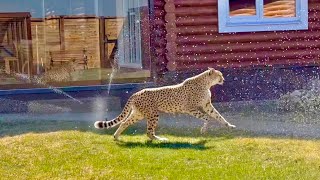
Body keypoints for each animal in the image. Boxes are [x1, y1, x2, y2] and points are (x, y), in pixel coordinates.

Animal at [94, 67, 236, 141]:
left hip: (138, 114)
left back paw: (116, 137)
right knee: (149, 132)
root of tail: (136, 93)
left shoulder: (207, 105)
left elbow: (218, 116)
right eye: (220, 75)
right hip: (153, 114)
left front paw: (229, 126)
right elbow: (207, 118)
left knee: (124, 122)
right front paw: (204, 130)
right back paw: (161, 139)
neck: (206, 83)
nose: (224, 79)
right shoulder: (190, 109)